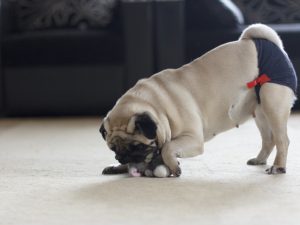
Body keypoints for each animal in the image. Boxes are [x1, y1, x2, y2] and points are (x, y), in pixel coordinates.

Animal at [99, 24, 296, 176]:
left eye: (137, 147)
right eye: (113, 149)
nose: (122, 156)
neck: (158, 107)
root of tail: (271, 45)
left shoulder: (192, 138)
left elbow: (168, 147)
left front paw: (173, 167)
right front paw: (118, 167)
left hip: (272, 103)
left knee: (282, 140)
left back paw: (278, 167)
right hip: (260, 112)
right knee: (269, 140)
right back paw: (259, 160)